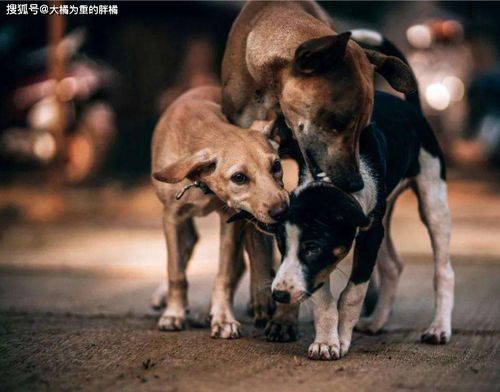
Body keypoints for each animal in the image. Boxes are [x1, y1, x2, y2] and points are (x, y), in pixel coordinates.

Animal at [151, 87, 290, 338]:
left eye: (276, 165)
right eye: (239, 177)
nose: (282, 210)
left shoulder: (231, 219)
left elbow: (224, 275)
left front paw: (223, 318)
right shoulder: (172, 217)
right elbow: (176, 271)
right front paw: (174, 314)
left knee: (245, 262)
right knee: (187, 247)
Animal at [268, 87, 456, 360]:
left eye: (312, 247)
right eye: (281, 246)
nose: (279, 295)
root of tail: (412, 107)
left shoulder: (368, 234)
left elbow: (352, 295)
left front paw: (341, 339)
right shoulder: (352, 243)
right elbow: (323, 298)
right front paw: (326, 341)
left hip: (433, 200)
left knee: (443, 271)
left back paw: (439, 328)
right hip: (385, 216)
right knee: (392, 266)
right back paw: (377, 321)